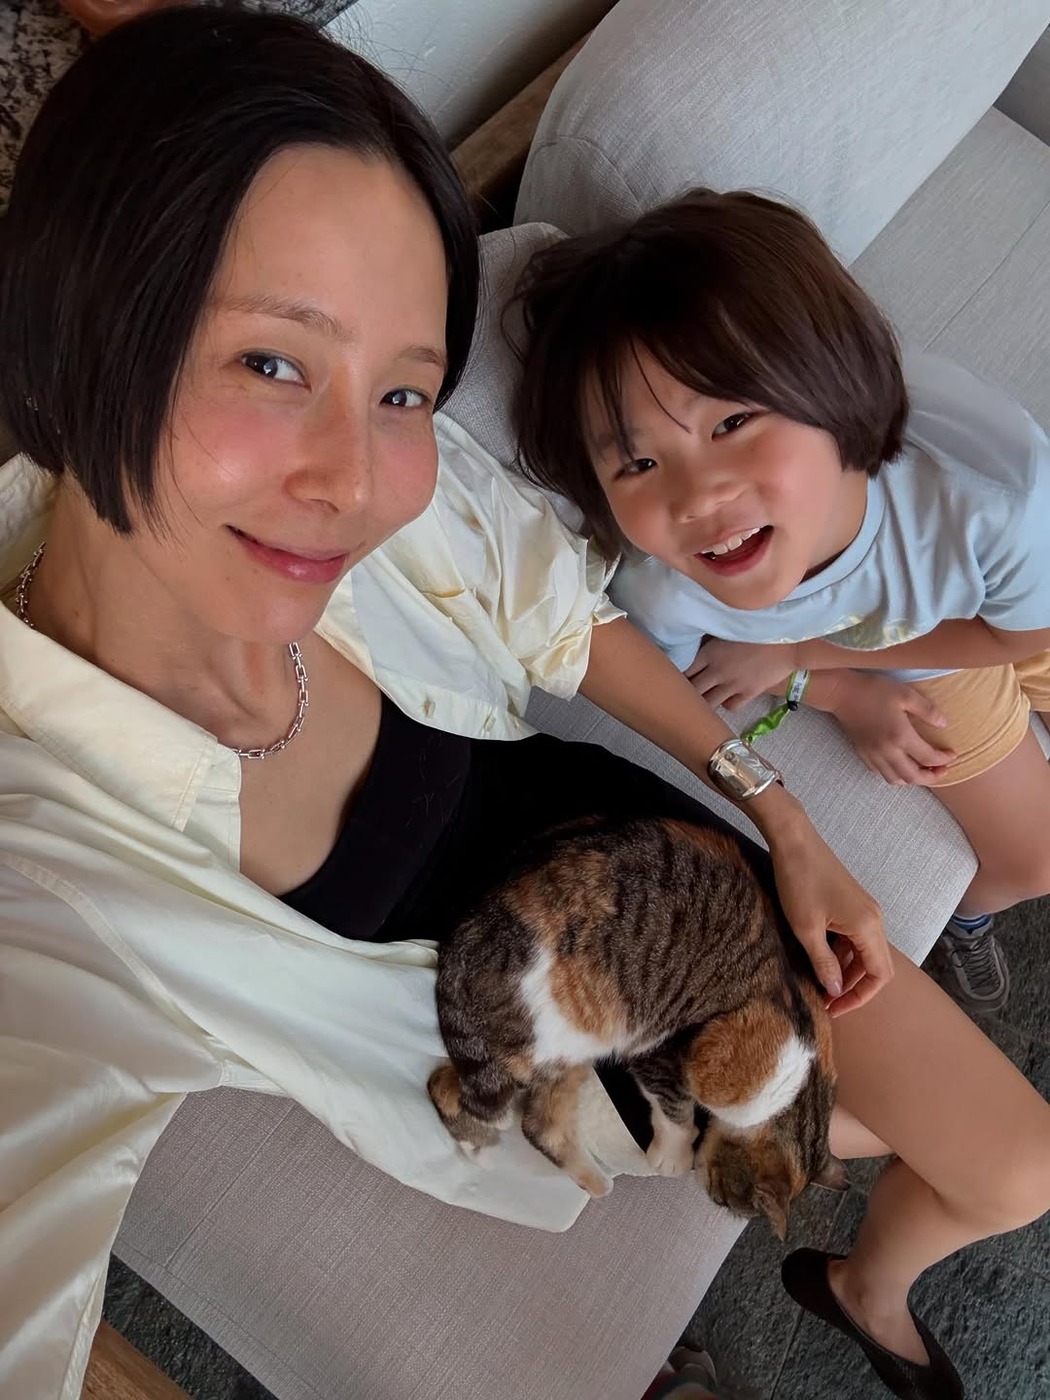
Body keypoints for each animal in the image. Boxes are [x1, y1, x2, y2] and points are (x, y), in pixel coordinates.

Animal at [427, 813, 848, 1237]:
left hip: (560, 1056)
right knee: (462, 1094)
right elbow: (677, 1105)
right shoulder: (682, 1049)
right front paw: (675, 1153)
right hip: (577, 1024)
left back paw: (593, 1182)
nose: (709, 1193)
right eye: (725, 1202)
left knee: (521, 1116)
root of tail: (462, 941)